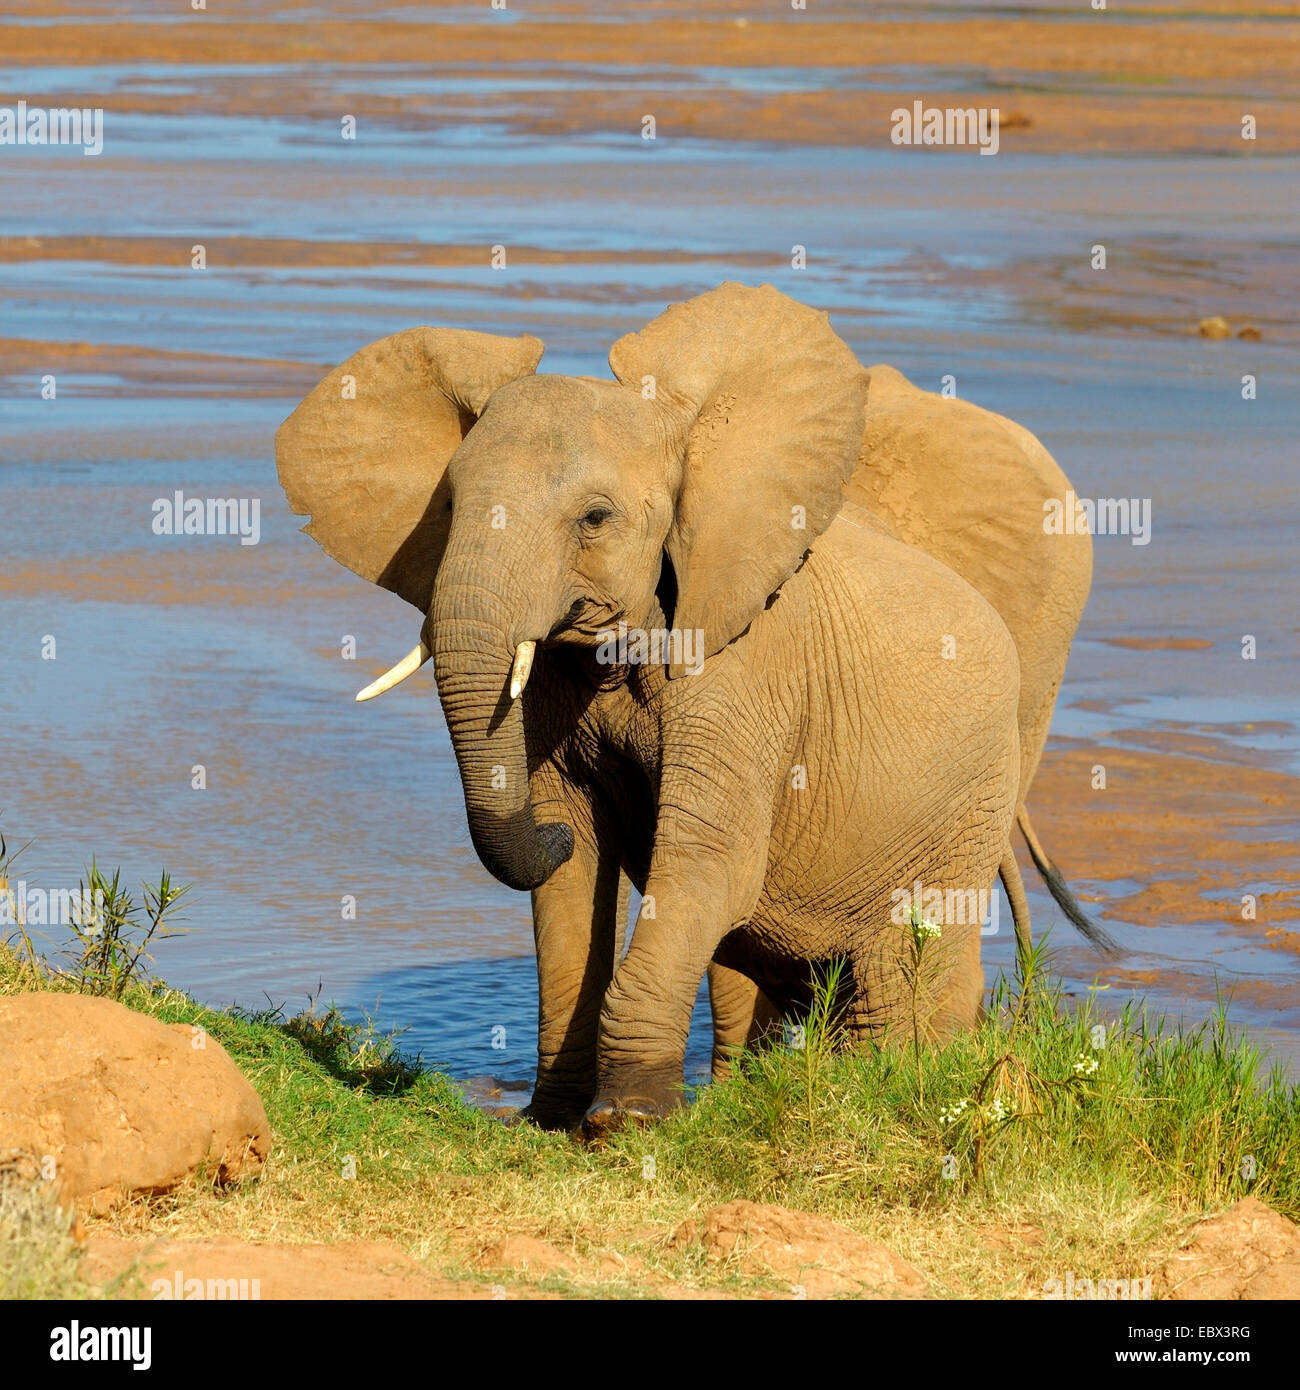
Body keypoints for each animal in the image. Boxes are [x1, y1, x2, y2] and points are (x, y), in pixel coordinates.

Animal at [282, 279, 1028, 1128]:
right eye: (446, 506)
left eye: (595, 518)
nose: (541, 834)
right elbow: (573, 874)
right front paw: (553, 1119)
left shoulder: (745, 670)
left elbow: (710, 866)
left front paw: (627, 1121)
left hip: (969, 807)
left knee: (902, 971)